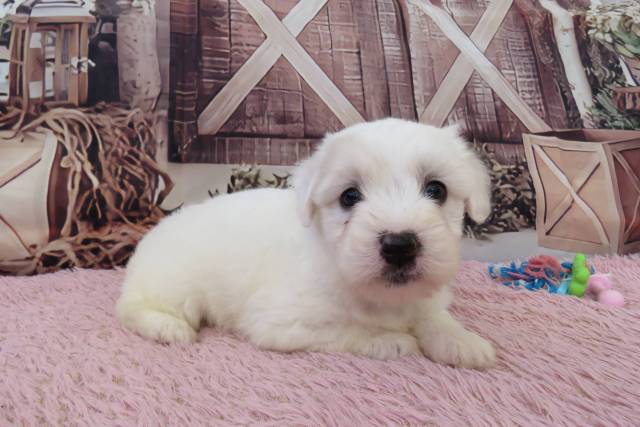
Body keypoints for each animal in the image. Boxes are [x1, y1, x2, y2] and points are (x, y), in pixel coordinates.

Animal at [117, 118, 498, 372]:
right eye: (349, 196)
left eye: (437, 190)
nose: (399, 245)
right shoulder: (282, 324)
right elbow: (351, 329)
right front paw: (392, 341)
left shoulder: (425, 298)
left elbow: (435, 318)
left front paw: (463, 342)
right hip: (173, 285)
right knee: (132, 308)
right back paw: (169, 328)